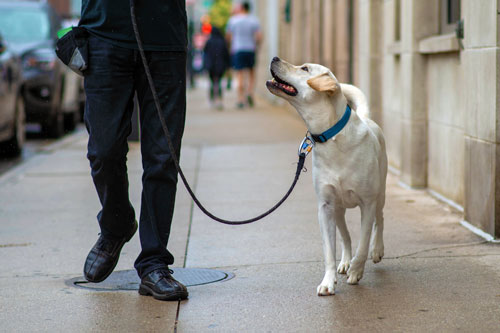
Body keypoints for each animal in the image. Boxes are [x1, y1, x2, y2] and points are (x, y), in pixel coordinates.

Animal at [266, 56, 386, 294]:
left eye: (304, 68)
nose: (274, 58)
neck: (330, 136)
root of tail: (366, 118)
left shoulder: (367, 204)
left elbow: (363, 244)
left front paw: (357, 271)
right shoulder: (325, 207)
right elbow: (330, 251)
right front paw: (328, 281)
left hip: (380, 195)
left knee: (380, 220)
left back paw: (377, 250)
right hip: (338, 210)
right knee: (346, 237)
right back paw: (345, 262)